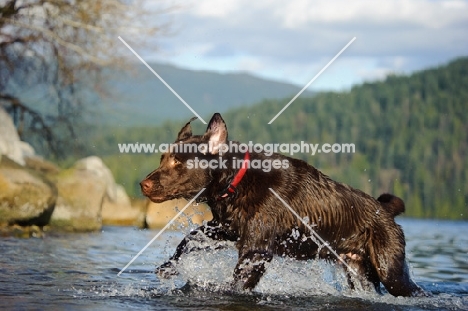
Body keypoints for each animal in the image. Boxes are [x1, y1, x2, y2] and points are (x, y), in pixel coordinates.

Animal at [141, 114, 426, 298]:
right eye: (162, 158)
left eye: (178, 161)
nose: (143, 184)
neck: (236, 181)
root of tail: (385, 211)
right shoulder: (226, 229)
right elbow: (190, 238)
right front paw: (168, 267)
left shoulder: (256, 250)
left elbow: (236, 284)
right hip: (358, 271)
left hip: (390, 271)